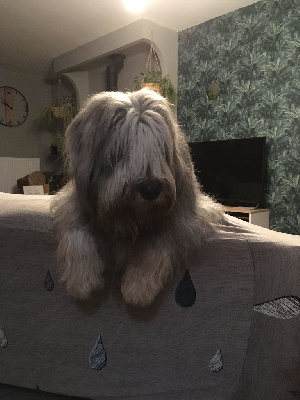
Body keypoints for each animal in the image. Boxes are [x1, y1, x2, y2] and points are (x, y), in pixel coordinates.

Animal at [51, 88, 223, 306]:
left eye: (160, 148)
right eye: (122, 149)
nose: (151, 189)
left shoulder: (187, 218)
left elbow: (160, 241)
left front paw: (138, 286)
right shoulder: (74, 204)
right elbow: (76, 230)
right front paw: (82, 279)